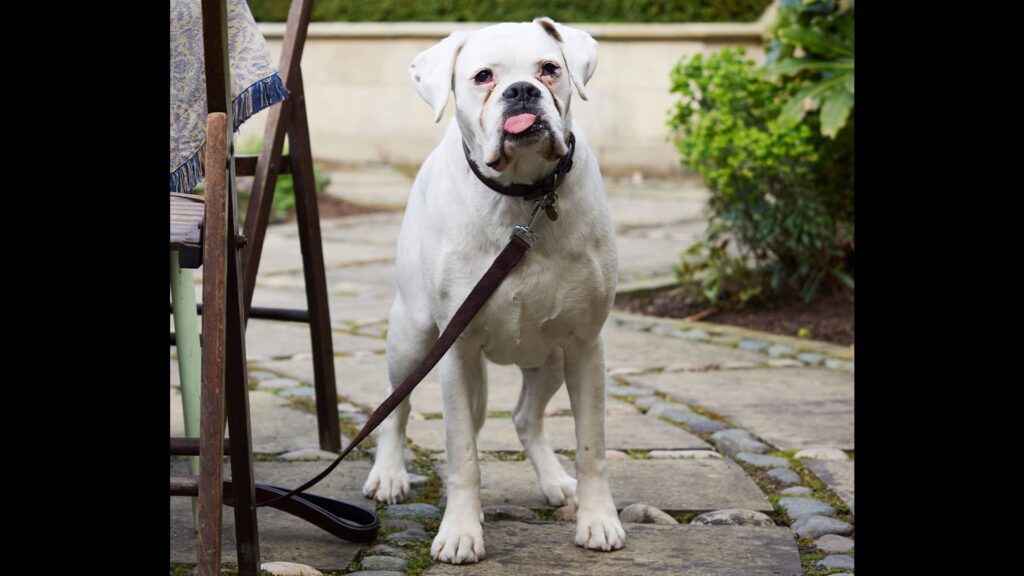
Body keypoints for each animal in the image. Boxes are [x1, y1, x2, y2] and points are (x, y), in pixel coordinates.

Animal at [362, 16, 622, 561]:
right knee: (397, 406)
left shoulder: (585, 346)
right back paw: (389, 474)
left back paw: (554, 481)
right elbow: (462, 452)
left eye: (549, 69)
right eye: (483, 76)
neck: (524, 199)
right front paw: (461, 530)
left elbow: (591, 447)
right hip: (413, 339)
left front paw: (598, 520)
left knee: (525, 416)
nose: (521, 91)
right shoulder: (456, 350)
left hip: (550, 359)